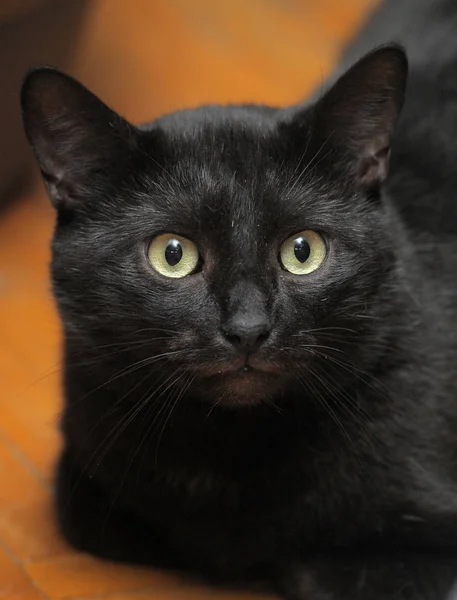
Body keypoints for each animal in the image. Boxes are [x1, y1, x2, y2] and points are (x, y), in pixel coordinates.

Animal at [19, 1, 456, 600]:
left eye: (303, 250)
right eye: (172, 254)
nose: (248, 327)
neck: (228, 450)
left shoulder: (424, 561)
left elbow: (316, 564)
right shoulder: (87, 462)